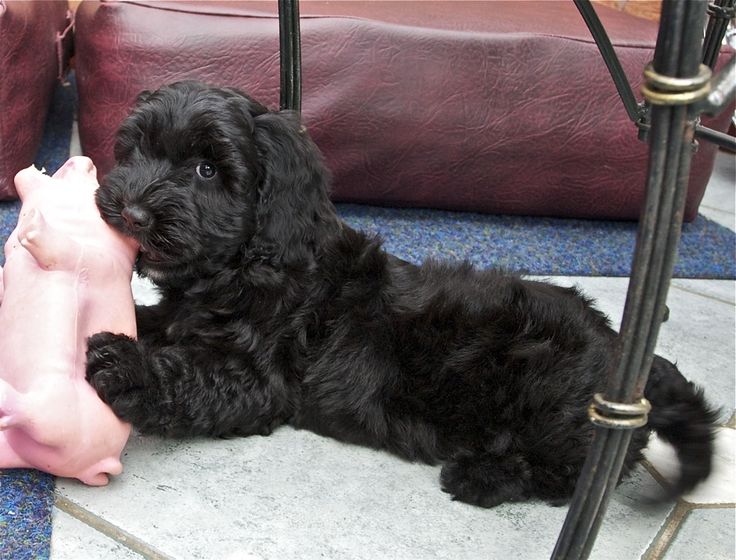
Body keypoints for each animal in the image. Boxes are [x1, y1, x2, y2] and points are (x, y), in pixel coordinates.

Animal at [87, 82, 720, 508]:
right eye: (136, 151)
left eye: (207, 170)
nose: (130, 212)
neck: (246, 264)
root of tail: (634, 359)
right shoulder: (182, 315)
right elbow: (158, 320)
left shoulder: (258, 379)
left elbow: (189, 374)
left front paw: (126, 366)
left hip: (551, 403)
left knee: (572, 471)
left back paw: (483, 476)